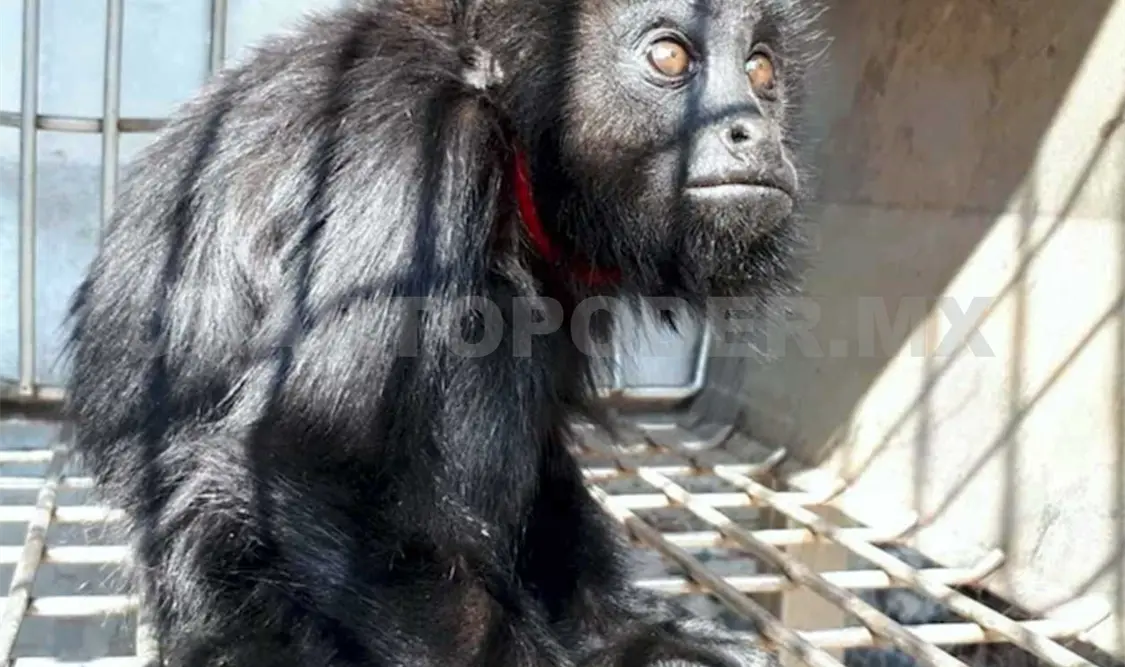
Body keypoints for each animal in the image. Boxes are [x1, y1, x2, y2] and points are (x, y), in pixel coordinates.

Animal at [62, 0, 823, 665]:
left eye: (760, 70)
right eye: (670, 56)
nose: (754, 131)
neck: (495, 95)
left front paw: (629, 639)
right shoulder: (412, 143)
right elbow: (300, 456)